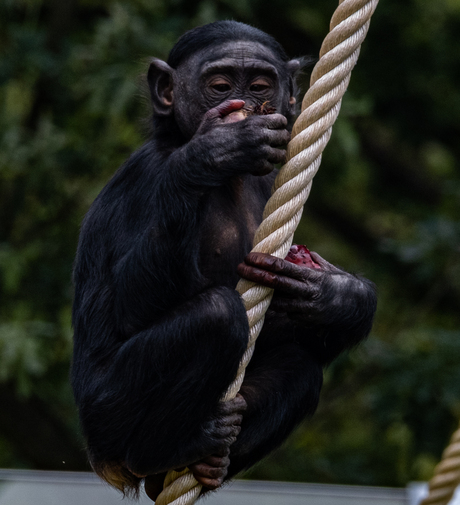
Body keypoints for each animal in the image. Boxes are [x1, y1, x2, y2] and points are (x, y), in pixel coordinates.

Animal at [70, 20, 376, 500]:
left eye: (260, 85)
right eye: (219, 86)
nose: (245, 106)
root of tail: (105, 465)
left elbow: (308, 333)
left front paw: (331, 294)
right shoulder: (144, 178)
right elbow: (128, 306)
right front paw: (217, 150)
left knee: (301, 365)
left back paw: (209, 456)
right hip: (106, 415)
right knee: (213, 315)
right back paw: (165, 451)